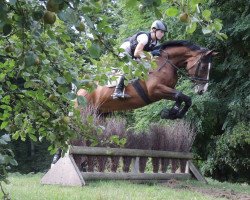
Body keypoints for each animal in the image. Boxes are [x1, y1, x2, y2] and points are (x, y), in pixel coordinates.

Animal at [76, 39, 217, 119]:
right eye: (204, 67)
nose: (202, 90)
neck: (165, 62)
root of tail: (79, 91)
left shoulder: (165, 91)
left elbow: (185, 98)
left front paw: (173, 114)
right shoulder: (155, 90)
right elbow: (180, 95)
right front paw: (172, 112)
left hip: (100, 114)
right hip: (85, 112)